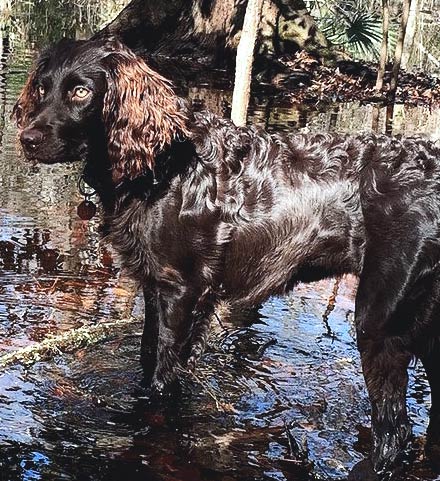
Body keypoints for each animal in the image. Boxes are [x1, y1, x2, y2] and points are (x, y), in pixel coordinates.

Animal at [13, 38, 440, 480]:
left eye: (81, 92)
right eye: (43, 87)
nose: (28, 138)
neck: (164, 165)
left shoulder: (183, 292)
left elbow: (163, 379)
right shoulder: (156, 288)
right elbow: (147, 357)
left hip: (379, 320)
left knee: (395, 430)